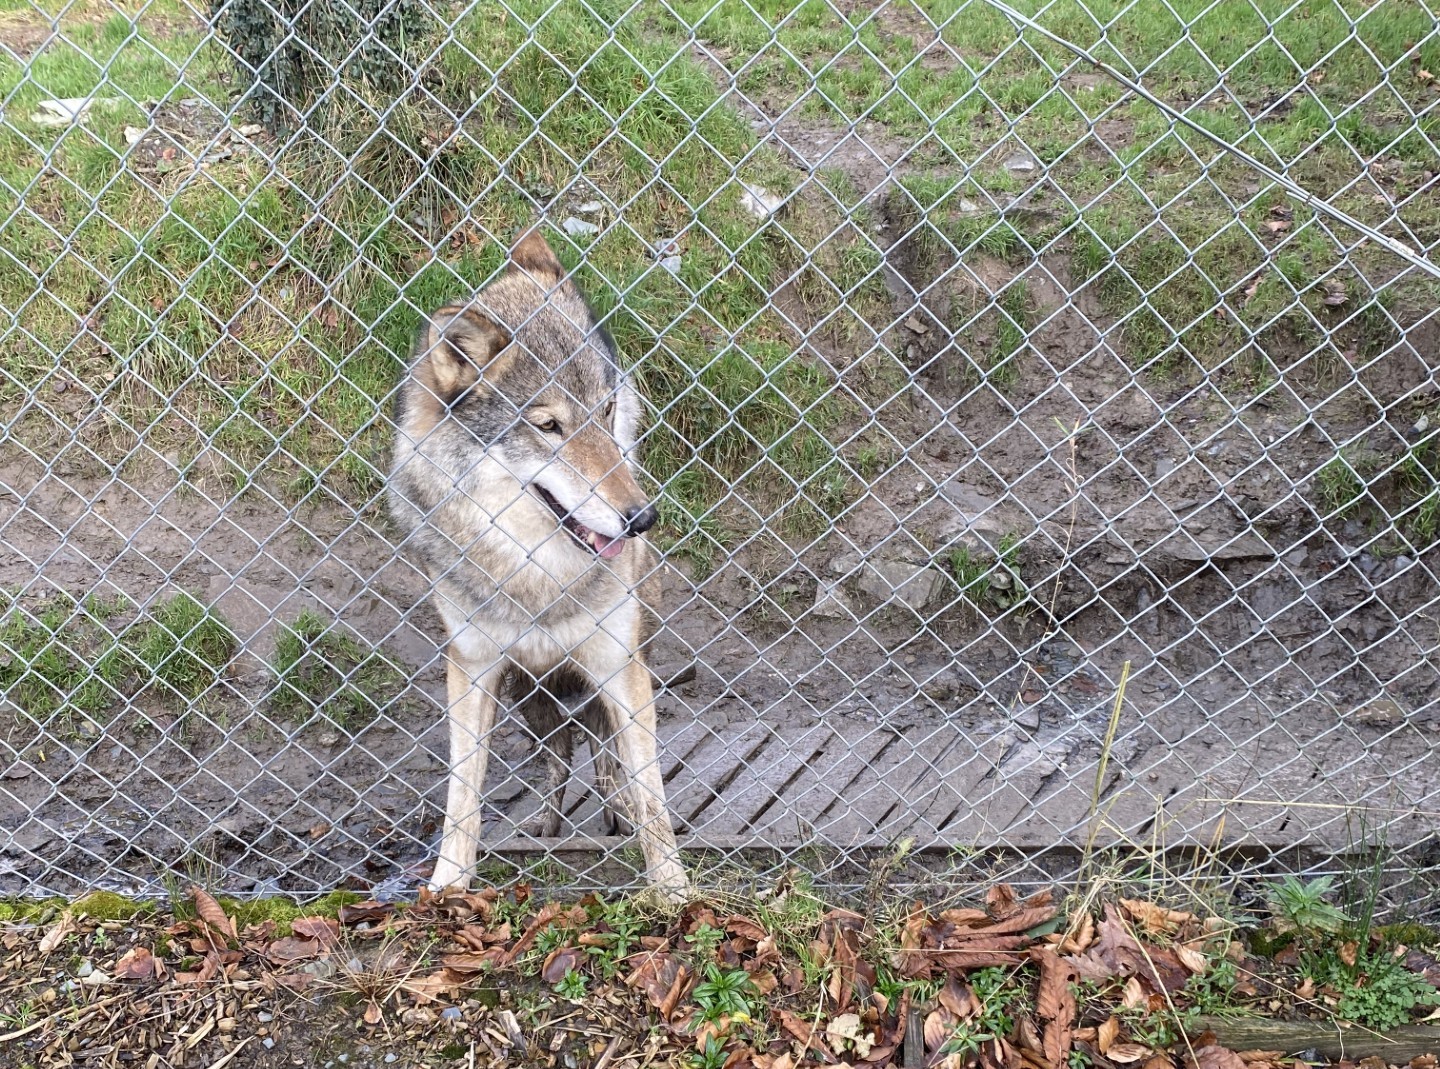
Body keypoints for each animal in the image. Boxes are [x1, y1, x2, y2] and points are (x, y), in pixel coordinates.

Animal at [388, 229, 689, 900]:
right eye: (549, 426)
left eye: (605, 411)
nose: (642, 518)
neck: (537, 578)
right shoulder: (472, 667)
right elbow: (462, 796)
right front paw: (448, 889)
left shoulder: (618, 664)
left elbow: (653, 795)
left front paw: (677, 894)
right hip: (530, 697)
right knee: (561, 756)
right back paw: (550, 829)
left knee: (605, 756)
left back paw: (613, 815)